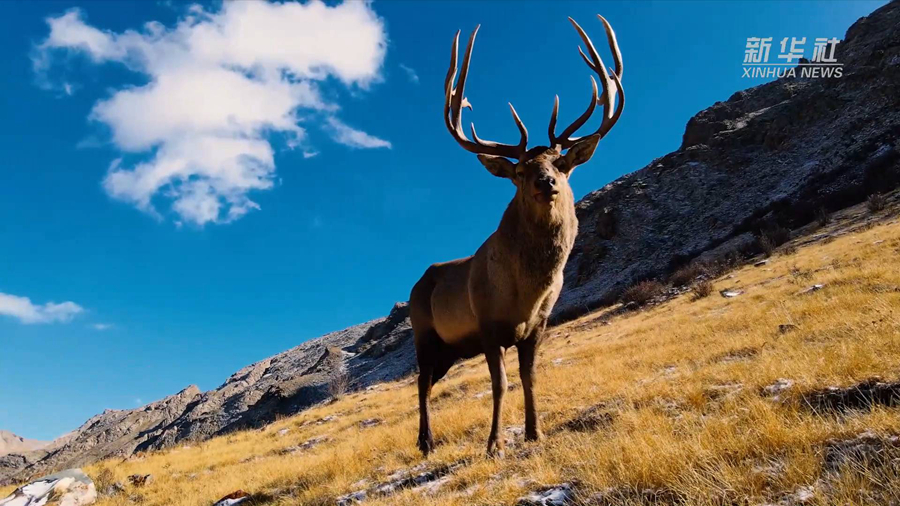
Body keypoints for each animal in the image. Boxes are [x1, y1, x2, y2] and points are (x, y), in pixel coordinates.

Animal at [410, 16, 624, 458]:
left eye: (560, 163)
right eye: (521, 170)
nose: (546, 182)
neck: (525, 292)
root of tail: (414, 286)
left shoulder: (538, 325)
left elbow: (530, 378)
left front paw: (535, 431)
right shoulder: (487, 325)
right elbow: (500, 384)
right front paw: (494, 445)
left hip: (450, 349)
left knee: (430, 383)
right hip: (424, 333)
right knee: (421, 384)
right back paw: (425, 441)